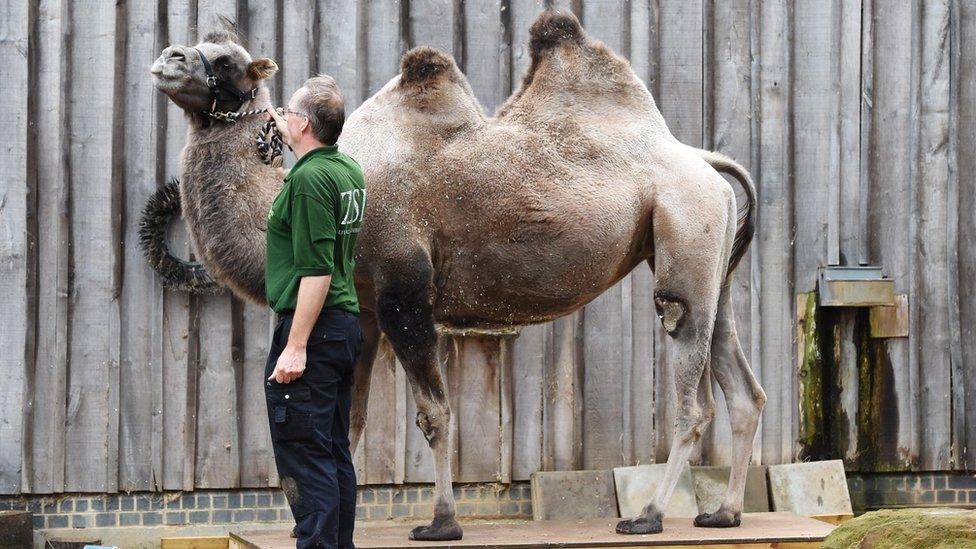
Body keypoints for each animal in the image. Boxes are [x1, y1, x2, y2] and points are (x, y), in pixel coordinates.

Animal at [151, 11, 764, 540]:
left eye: (227, 61)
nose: (167, 58)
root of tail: (704, 161)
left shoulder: (403, 291)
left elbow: (434, 413)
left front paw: (442, 522)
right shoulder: (365, 306)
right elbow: (351, 420)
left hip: (684, 233)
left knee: (693, 390)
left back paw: (649, 515)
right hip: (708, 257)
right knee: (742, 386)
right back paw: (725, 513)